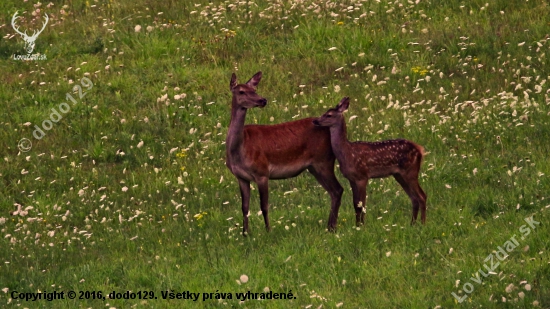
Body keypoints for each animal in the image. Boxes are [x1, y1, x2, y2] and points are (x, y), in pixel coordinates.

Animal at [226, 72, 342, 235]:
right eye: (241, 91)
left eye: (254, 89)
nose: (262, 100)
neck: (239, 151)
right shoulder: (241, 177)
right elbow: (244, 208)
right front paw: (245, 234)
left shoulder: (262, 172)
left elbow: (264, 206)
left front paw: (268, 231)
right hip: (314, 167)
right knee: (333, 191)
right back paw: (330, 226)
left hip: (323, 160)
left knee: (338, 189)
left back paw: (332, 227)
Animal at [314, 97, 426, 225]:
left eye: (329, 115)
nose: (315, 121)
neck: (347, 152)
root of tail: (419, 149)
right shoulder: (352, 179)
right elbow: (356, 204)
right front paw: (357, 225)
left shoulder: (363, 176)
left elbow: (361, 204)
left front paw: (361, 225)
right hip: (399, 175)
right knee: (414, 198)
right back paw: (412, 224)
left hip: (410, 171)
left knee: (422, 196)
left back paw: (423, 223)